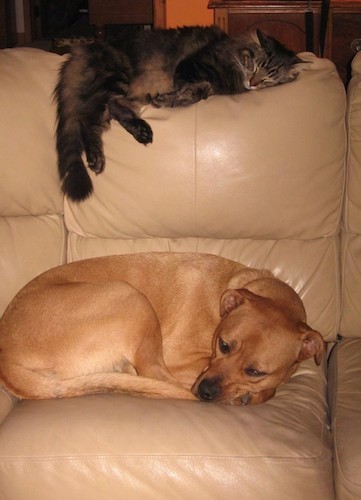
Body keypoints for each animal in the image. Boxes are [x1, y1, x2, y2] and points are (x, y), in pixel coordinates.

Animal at [0, 254, 324, 406]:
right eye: (223, 345)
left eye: (255, 371)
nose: (205, 392)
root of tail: (6, 356)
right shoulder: (182, 359)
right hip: (129, 296)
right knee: (152, 374)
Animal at [54, 25, 300, 201]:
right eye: (255, 65)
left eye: (270, 78)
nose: (253, 83)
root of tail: (82, 50)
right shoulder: (189, 67)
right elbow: (198, 87)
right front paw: (174, 98)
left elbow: (201, 90)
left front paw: (172, 98)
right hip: (116, 79)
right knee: (87, 120)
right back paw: (96, 156)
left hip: (127, 92)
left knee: (113, 109)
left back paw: (141, 130)